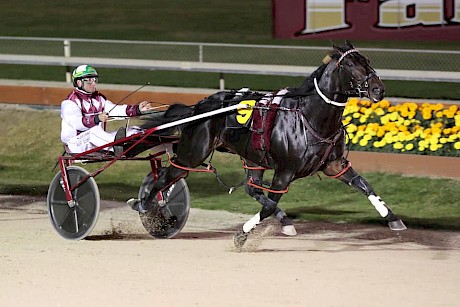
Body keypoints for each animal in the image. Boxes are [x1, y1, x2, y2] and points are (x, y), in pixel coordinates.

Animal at [137, 41, 406, 248]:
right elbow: (269, 206)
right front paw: (242, 236)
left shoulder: (334, 164)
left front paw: (393, 219)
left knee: (251, 189)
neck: (310, 116)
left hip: (252, 158)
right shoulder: (284, 171)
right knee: (163, 180)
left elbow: (365, 185)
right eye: (350, 64)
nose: (378, 89)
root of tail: (200, 106)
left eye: (367, 60)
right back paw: (147, 208)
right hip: (192, 154)